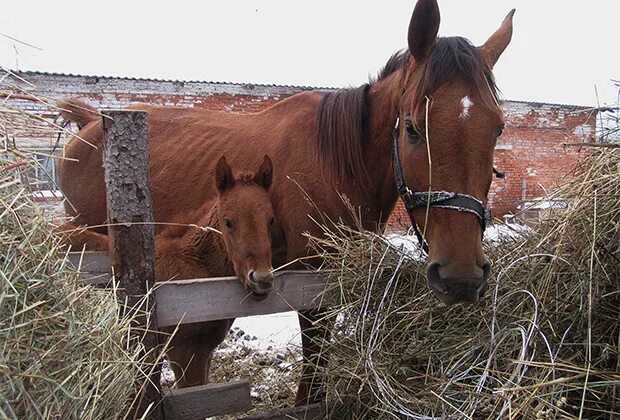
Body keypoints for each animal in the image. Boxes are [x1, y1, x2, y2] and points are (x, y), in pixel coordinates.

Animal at [57, 0, 512, 406]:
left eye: (497, 128)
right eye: (413, 129)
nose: (461, 277)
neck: (337, 163)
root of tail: (90, 123)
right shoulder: (308, 284)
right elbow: (314, 362)